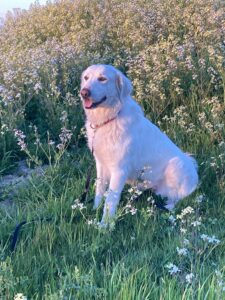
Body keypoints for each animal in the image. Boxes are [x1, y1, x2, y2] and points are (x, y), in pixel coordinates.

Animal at [79, 64, 199, 224]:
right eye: (86, 78)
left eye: (102, 79)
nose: (84, 92)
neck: (109, 119)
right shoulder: (100, 163)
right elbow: (99, 190)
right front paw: (95, 209)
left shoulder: (119, 170)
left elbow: (110, 200)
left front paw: (104, 225)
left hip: (177, 164)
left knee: (178, 199)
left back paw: (165, 208)